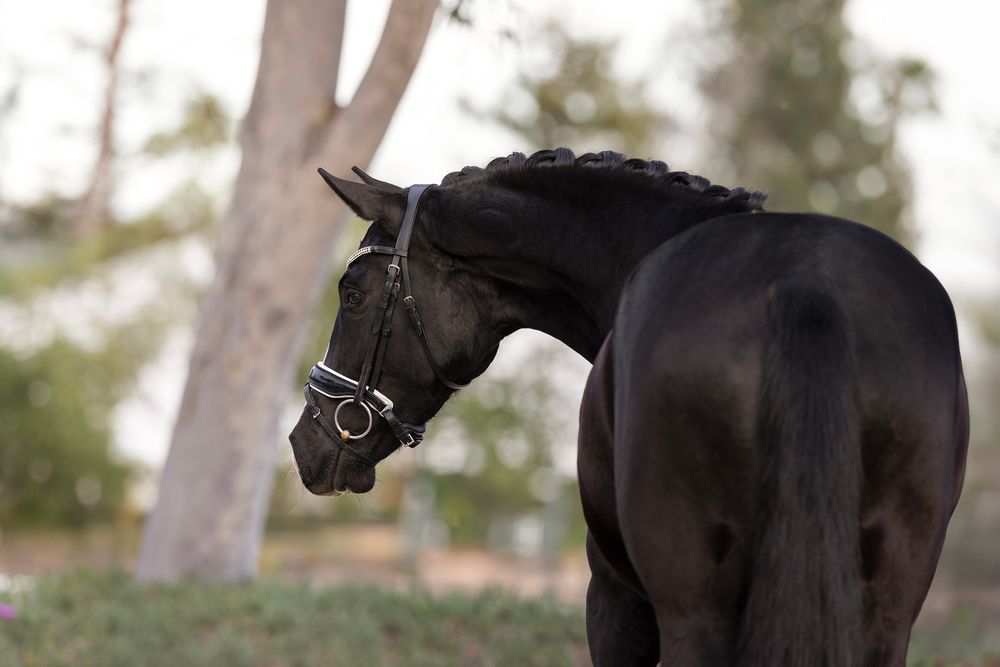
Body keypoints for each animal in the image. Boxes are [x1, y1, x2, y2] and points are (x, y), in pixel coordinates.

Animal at [287, 148, 969, 666]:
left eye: (352, 294)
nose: (304, 440)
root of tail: (806, 284)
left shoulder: (613, 595)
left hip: (690, 605)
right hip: (885, 606)